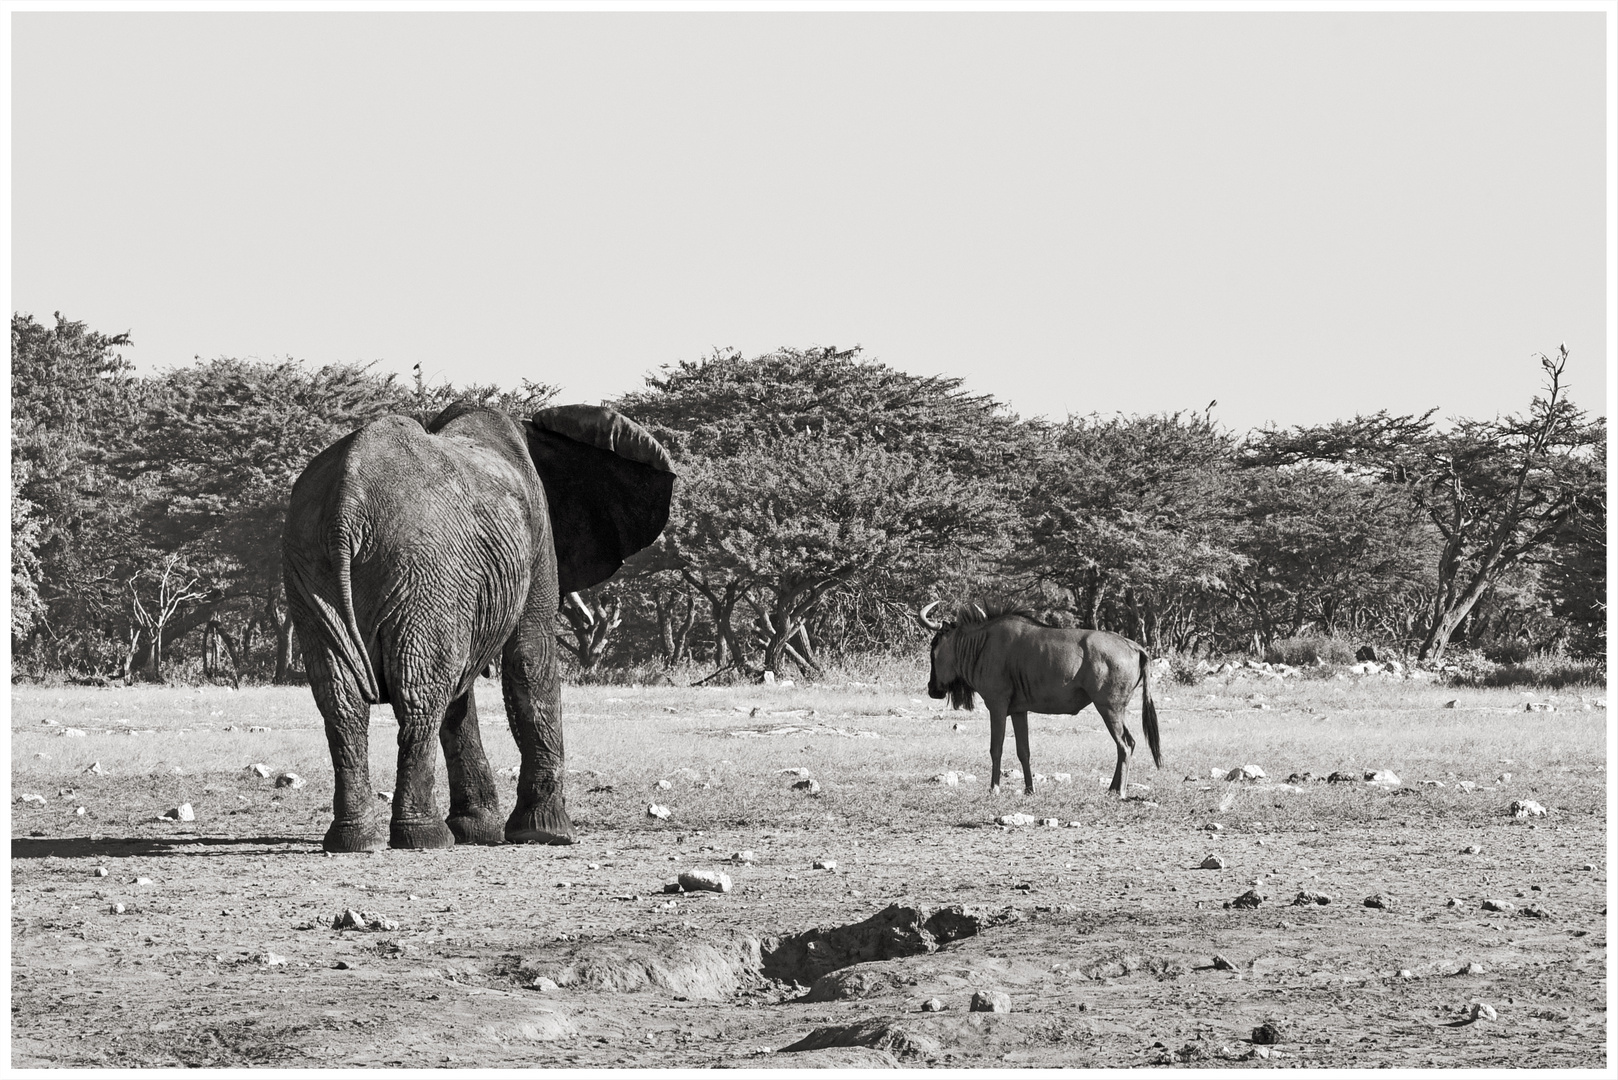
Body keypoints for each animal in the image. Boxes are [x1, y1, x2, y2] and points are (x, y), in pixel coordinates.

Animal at [281, 401, 673, 848]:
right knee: (420, 693)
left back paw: (354, 841)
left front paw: (479, 830)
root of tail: (347, 502)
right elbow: (529, 655)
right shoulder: (536, 535)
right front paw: (546, 834)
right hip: (423, 567)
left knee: (344, 699)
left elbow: (463, 689)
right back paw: (425, 838)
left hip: (311, 563)